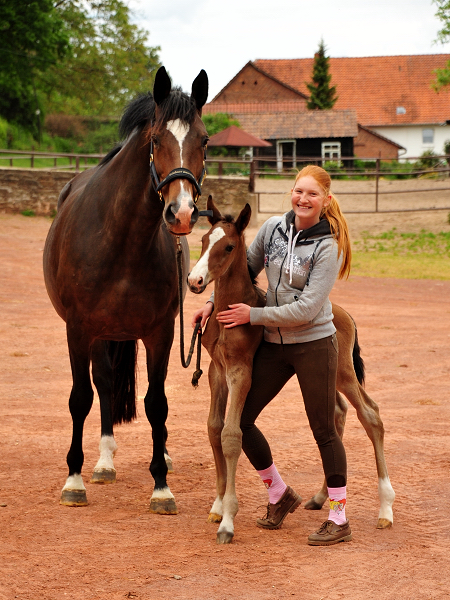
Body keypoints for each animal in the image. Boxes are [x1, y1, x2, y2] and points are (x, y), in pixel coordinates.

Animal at [43, 67, 208, 516]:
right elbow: (81, 397)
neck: (120, 240)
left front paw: (161, 486)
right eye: (155, 140)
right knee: (103, 384)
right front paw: (74, 481)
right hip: (101, 335)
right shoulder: (78, 329)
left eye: (204, 140)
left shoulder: (160, 332)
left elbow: (157, 403)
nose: (181, 213)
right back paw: (103, 462)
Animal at [188, 196, 396, 544]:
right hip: (329, 379)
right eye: (203, 240)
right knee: (338, 414)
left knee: (371, 414)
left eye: (228, 246)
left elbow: (232, 434)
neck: (230, 310)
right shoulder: (217, 371)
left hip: (342, 372)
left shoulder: (240, 372)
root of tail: (345, 314)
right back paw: (320, 497)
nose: (195, 281)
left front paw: (228, 520)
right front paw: (217, 505)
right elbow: (214, 428)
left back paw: (385, 509)